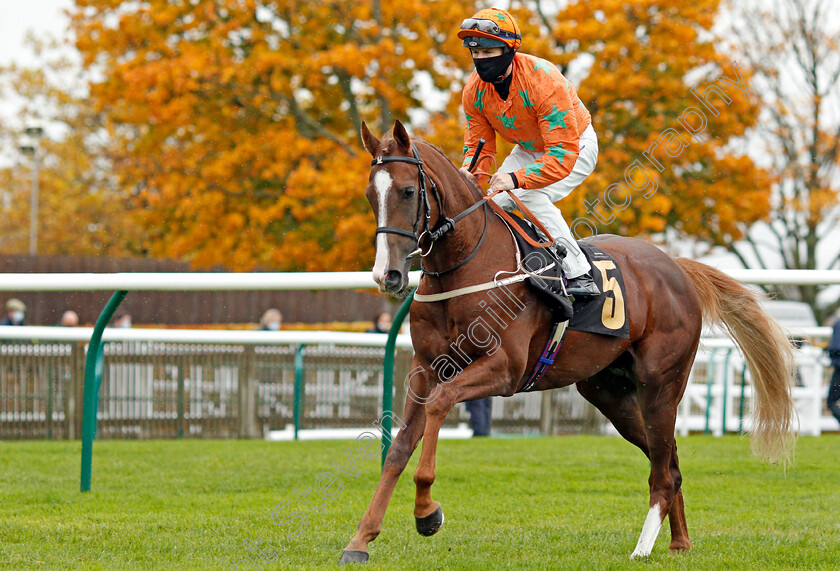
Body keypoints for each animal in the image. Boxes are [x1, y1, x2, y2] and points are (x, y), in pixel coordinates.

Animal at [340, 119, 796, 564]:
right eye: (370, 194)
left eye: (407, 191)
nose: (388, 275)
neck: (467, 267)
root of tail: (677, 267)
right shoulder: (426, 368)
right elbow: (399, 448)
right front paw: (361, 539)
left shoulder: (504, 370)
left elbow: (439, 405)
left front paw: (426, 512)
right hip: (609, 392)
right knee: (669, 459)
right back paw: (679, 542)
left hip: (661, 384)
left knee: (663, 469)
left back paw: (642, 547)